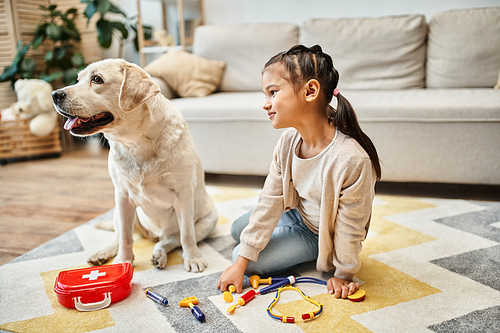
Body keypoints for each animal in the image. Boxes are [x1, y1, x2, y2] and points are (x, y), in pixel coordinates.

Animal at [51, 59, 220, 272]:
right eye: (78, 79)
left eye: (97, 79)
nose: (55, 94)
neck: (136, 143)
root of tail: (154, 234)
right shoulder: (122, 196)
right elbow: (125, 236)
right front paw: (123, 261)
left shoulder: (183, 195)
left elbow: (186, 235)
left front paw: (193, 258)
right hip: (117, 211)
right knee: (119, 236)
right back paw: (103, 254)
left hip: (208, 220)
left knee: (171, 240)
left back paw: (159, 254)